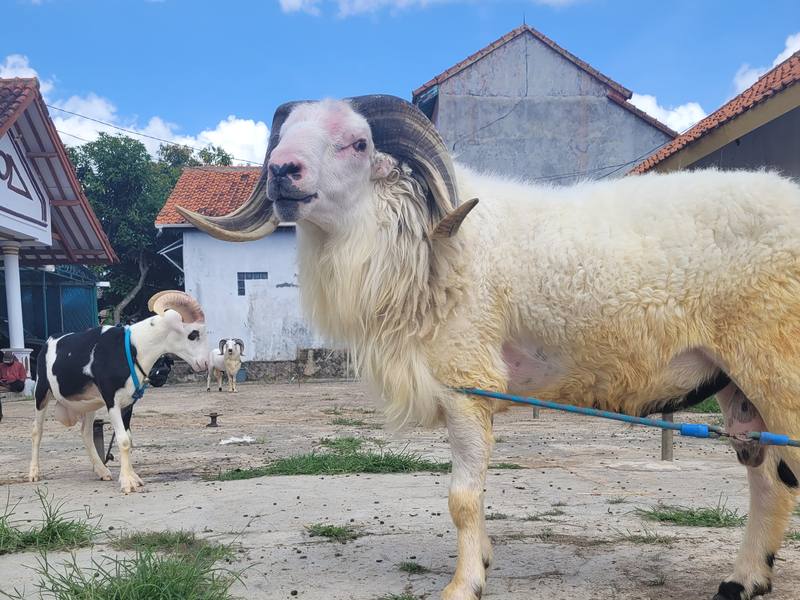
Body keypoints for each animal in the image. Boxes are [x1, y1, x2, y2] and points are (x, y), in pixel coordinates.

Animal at [30, 291, 209, 494]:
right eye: (193, 334)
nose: (204, 363)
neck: (133, 348)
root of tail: (48, 341)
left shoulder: (129, 403)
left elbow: (128, 439)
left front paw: (133, 477)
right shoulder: (112, 401)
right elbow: (123, 440)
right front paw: (127, 483)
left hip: (89, 403)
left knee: (86, 433)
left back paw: (102, 471)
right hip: (41, 392)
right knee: (37, 431)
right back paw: (34, 473)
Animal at [177, 94, 800, 600]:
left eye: (358, 142)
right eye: (283, 138)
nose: (282, 172)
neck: (417, 240)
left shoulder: (467, 381)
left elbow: (461, 496)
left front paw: (464, 584)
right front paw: (482, 561)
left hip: (778, 368)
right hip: (737, 385)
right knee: (768, 481)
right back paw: (744, 580)